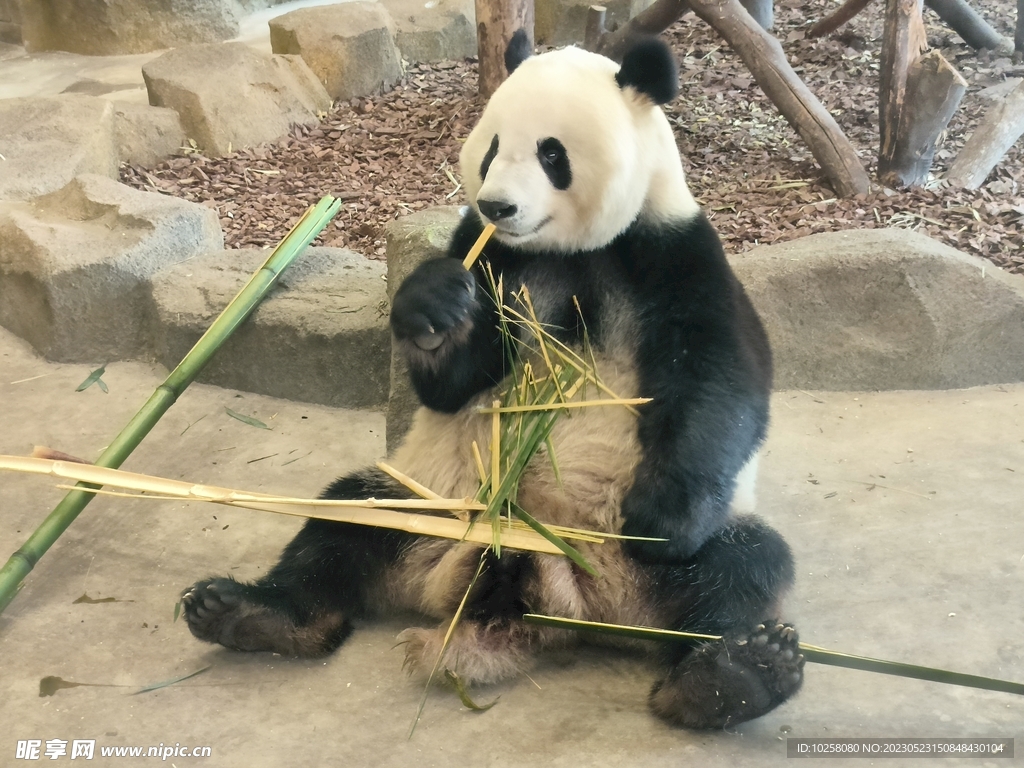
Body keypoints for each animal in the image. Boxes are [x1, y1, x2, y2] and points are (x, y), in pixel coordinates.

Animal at [186, 33, 806, 729]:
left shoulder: (673, 253)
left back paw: (731, 675)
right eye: (490, 148)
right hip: (428, 510)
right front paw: (432, 306)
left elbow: (720, 385)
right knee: (343, 524)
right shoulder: (490, 257)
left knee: (741, 566)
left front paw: (662, 518)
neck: (565, 251)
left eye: (552, 153)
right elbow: (453, 381)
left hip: (644, 566)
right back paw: (249, 613)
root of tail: (554, 596)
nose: (496, 205)